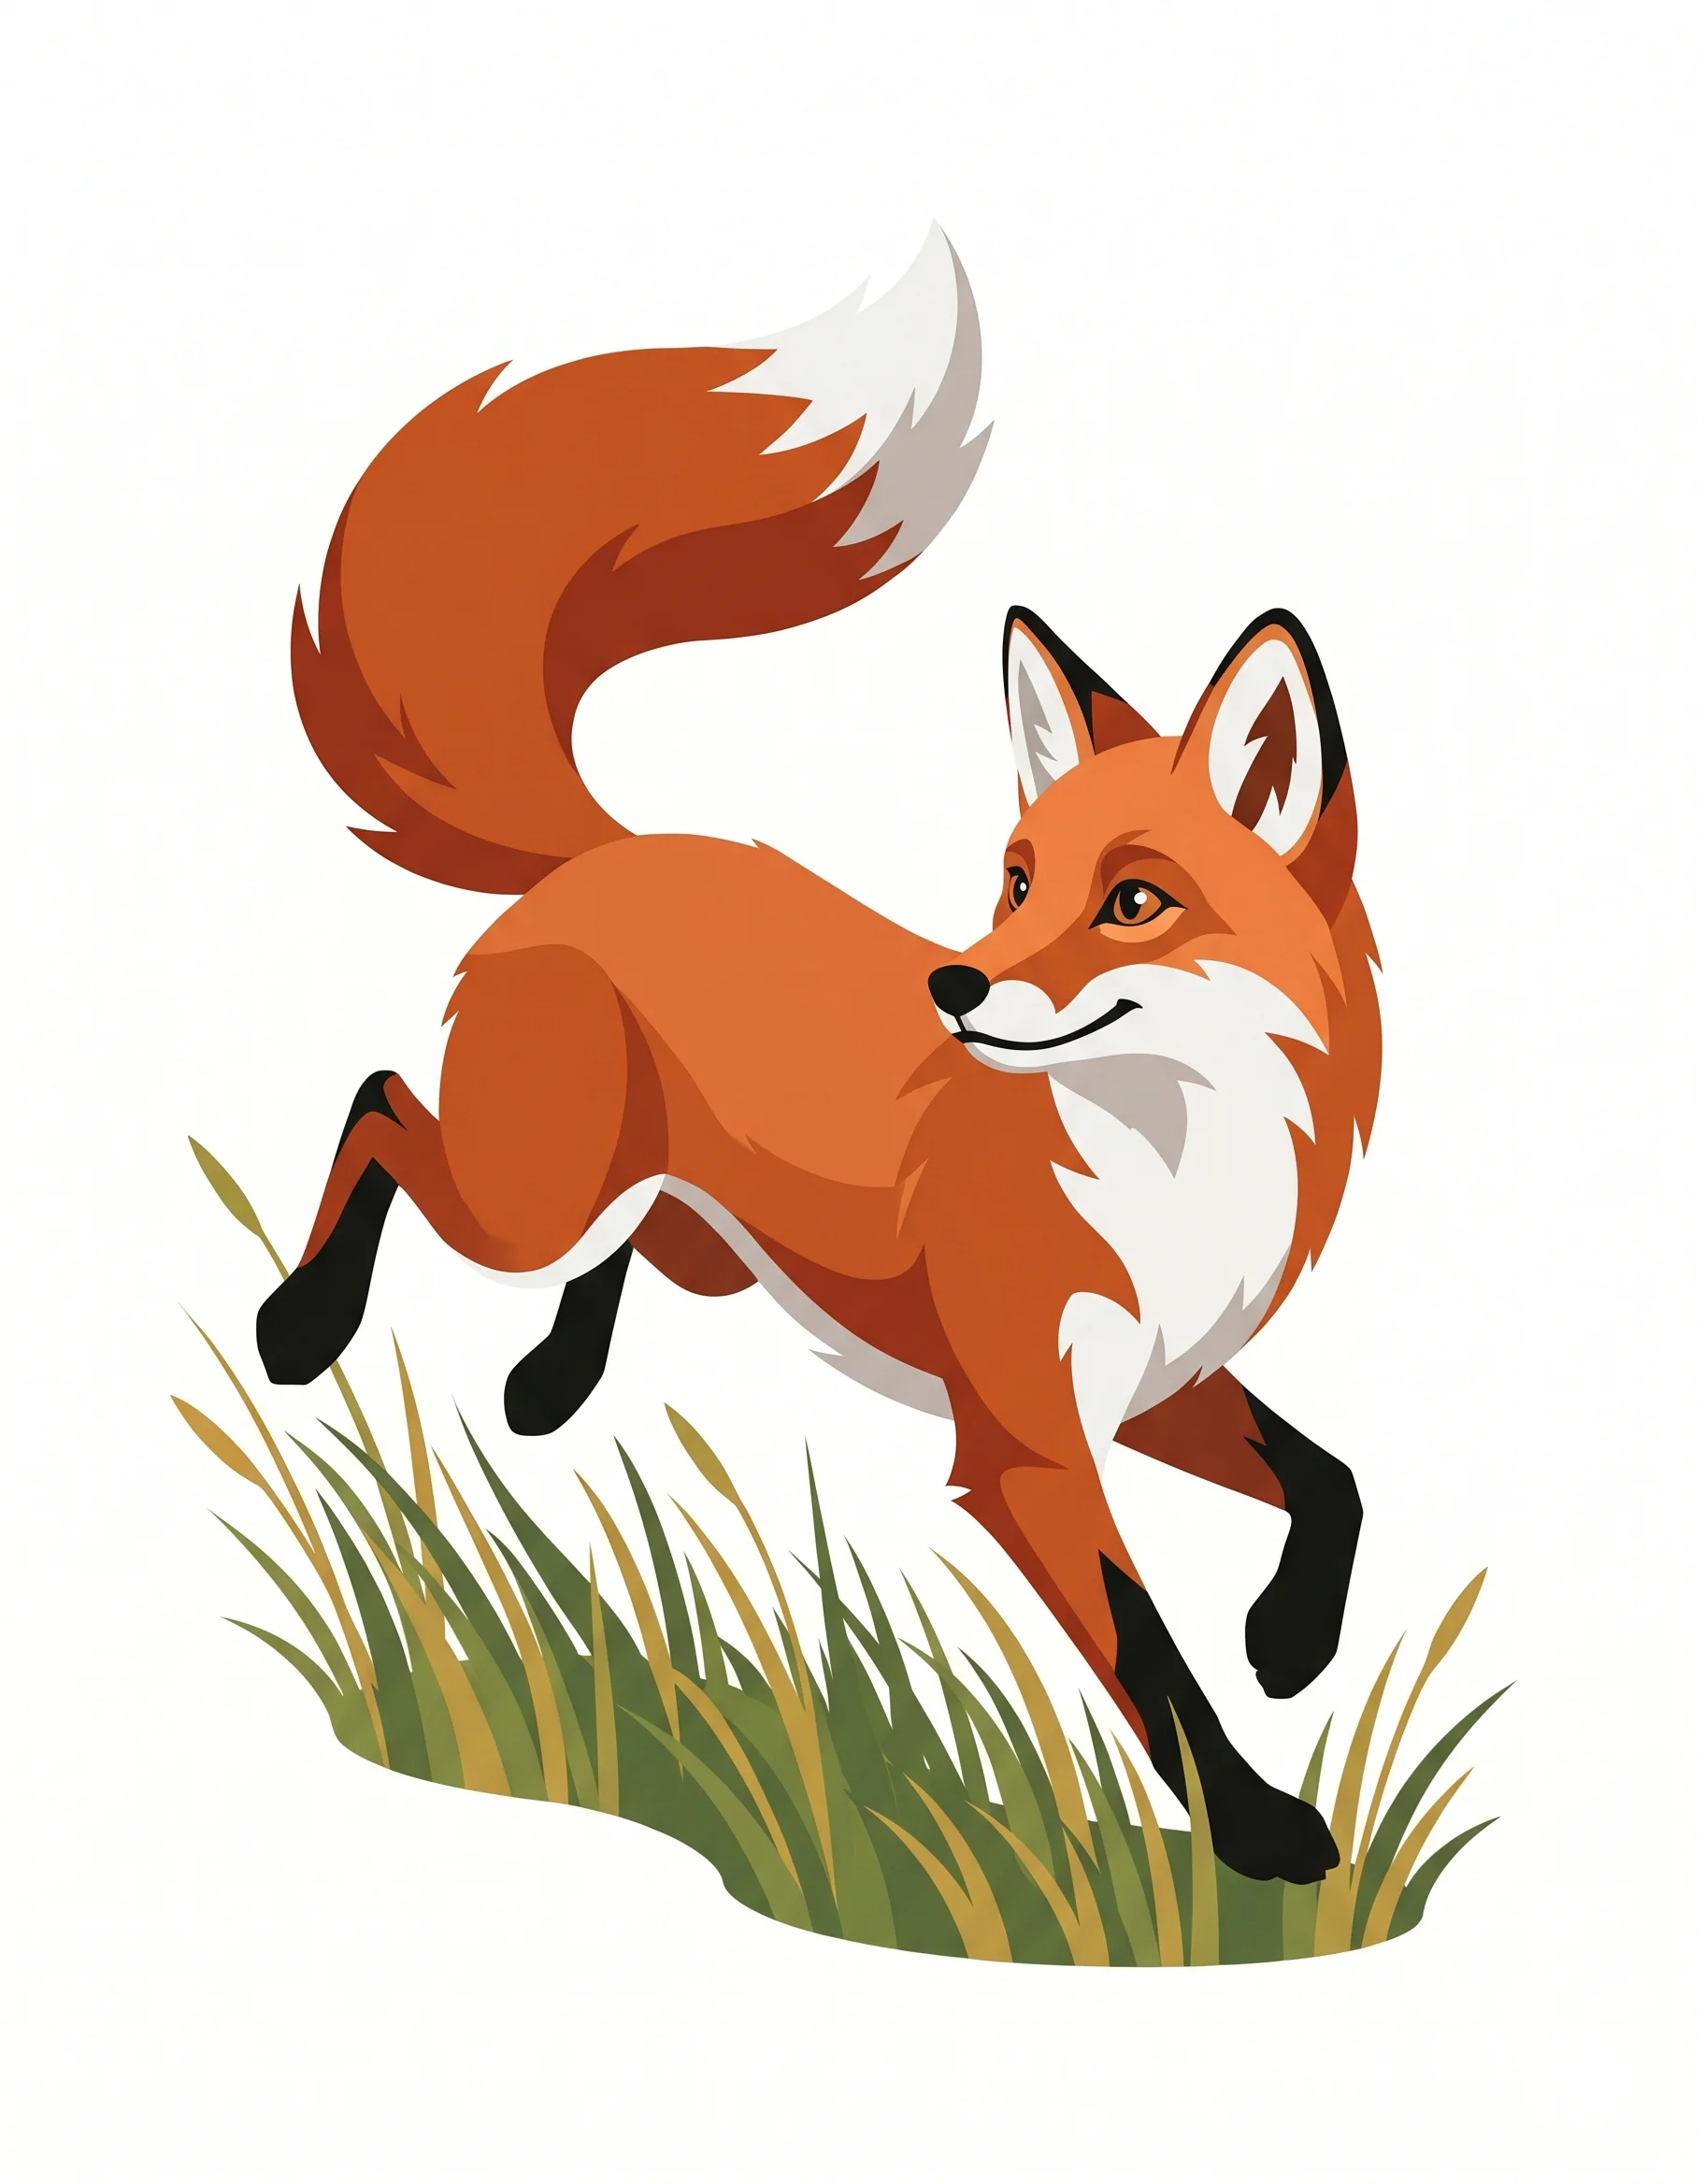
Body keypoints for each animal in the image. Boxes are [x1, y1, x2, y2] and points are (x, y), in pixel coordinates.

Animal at [257, 229, 1381, 1885]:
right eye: (1015, 882)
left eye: (1132, 903)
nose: (954, 984)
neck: (1171, 1166)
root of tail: (617, 849)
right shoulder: (1029, 1444)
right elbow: (1152, 1657)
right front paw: (1257, 1826)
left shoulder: (1150, 1383)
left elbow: (1332, 1478)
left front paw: (1293, 1643)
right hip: (532, 1197)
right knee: (383, 1102)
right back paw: (304, 1323)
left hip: (681, 1222)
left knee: (613, 1234)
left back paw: (551, 1378)